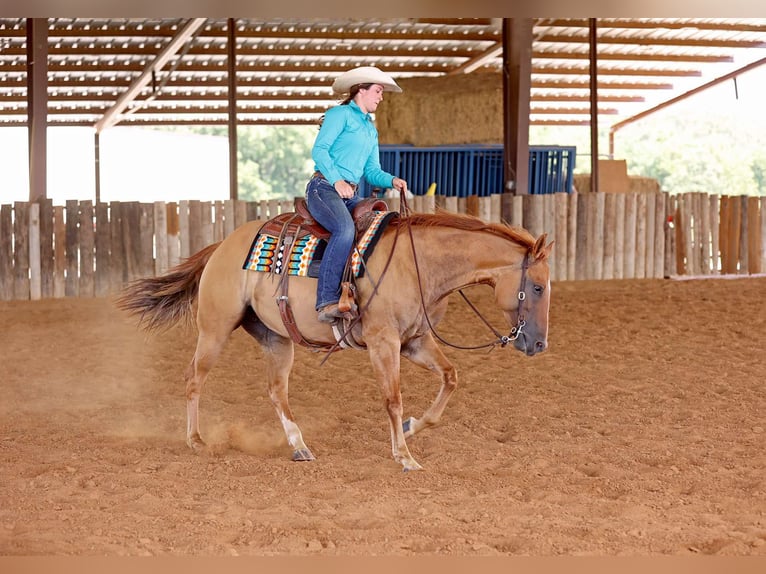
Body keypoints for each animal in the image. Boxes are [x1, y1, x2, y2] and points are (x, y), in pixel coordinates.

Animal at [116, 209, 553, 471]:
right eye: (536, 287)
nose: (538, 345)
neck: (417, 265)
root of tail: (221, 247)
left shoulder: (415, 340)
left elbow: (450, 377)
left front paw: (412, 427)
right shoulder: (383, 342)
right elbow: (392, 399)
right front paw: (404, 456)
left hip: (276, 338)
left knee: (276, 391)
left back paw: (299, 445)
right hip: (215, 328)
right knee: (194, 378)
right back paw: (195, 439)